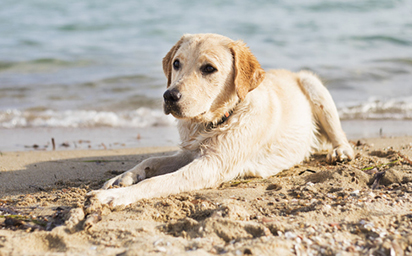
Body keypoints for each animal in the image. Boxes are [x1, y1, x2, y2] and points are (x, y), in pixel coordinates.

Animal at [90, 33, 354, 207]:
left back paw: (341, 151)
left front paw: (116, 197)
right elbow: (151, 160)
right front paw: (122, 178)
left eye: (209, 68)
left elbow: (156, 182)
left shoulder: (212, 165)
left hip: (313, 86)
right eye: (176, 63)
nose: (169, 96)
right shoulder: (190, 152)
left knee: (340, 135)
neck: (216, 120)